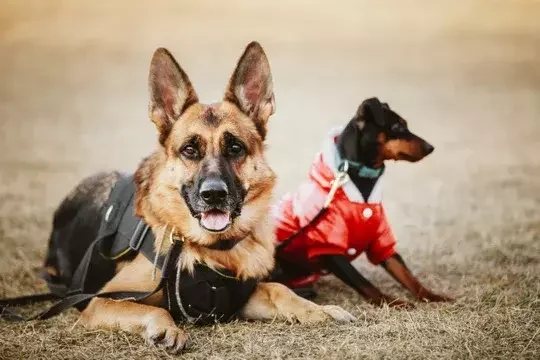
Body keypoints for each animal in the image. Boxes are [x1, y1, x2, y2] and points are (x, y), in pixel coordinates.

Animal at [42, 43, 354, 354]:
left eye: (235, 148)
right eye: (189, 150)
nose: (213, 194)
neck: (212, 249)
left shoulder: (238, 297)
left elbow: (280, 289)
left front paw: (320, 309)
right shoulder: (99, 301)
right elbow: (156, 309)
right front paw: (167, 329)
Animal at [272, 99, 454, 310]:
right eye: (397, 127)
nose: (430, 147)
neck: (362, 178)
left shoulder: (381, 242)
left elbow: (407, 276)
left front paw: (432, 296)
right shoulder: (329, 248)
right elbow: (366, 284)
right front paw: (394, 302)